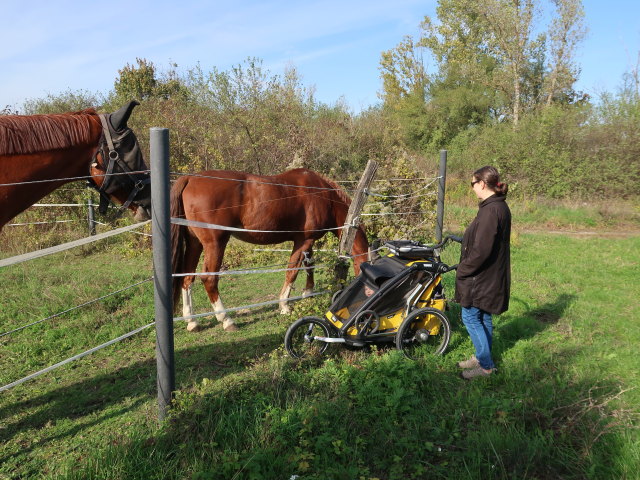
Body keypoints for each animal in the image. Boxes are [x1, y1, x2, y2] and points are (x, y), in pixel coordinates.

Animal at [171, 168, 370, 330]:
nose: (366, 295)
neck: (323, 194)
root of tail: (190, 178)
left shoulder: (308, 242)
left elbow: (309, 265)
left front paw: (308, 293)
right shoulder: (303, 241)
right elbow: (292, 271)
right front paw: (284, 306)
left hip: (195, 243)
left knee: (187, 278)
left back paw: (192, 321)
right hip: (215, 243)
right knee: (209, 279)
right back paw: (226, 319)